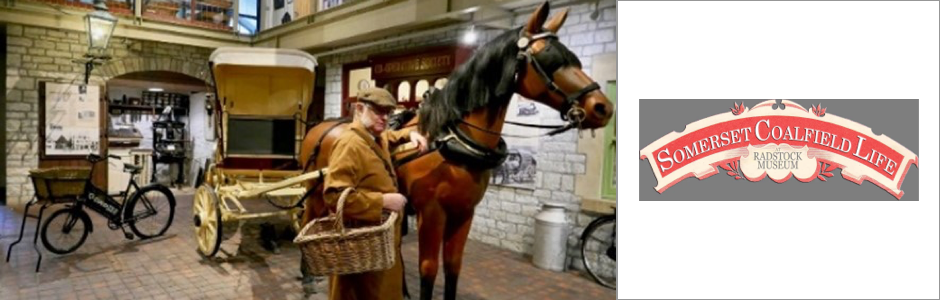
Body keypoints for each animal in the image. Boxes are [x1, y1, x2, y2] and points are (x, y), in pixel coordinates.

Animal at [298, 1, 612, 298]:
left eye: (573, 57)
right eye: (548, 57)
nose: (602, 107)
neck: (454, 142)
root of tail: (319, 125)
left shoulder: (464, 213)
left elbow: (452, 267)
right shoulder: (432, 214)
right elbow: (428, 269)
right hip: (315, 194)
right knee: (307, 219)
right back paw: (308, 276)